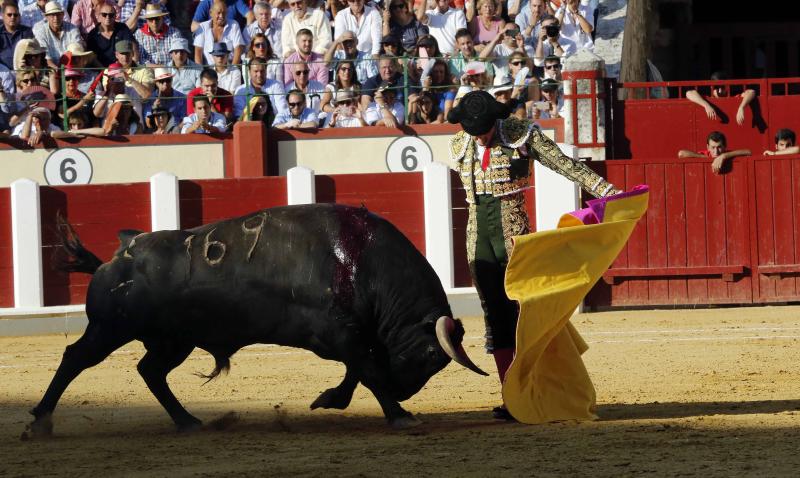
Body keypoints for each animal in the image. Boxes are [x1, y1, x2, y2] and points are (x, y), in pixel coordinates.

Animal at [29, 204, 488, 436]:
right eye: (431, 356)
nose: (403, 390)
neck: (363, 263)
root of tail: (116, 257)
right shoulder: (342, 333)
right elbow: (368, 371)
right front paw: (398, 413)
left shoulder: (350, 336)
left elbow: (358, 372)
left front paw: (330, 399)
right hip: (110, 329)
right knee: (76, 359)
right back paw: (40, 421)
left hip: (174, 340)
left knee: (151, 371)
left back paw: (188, 421)